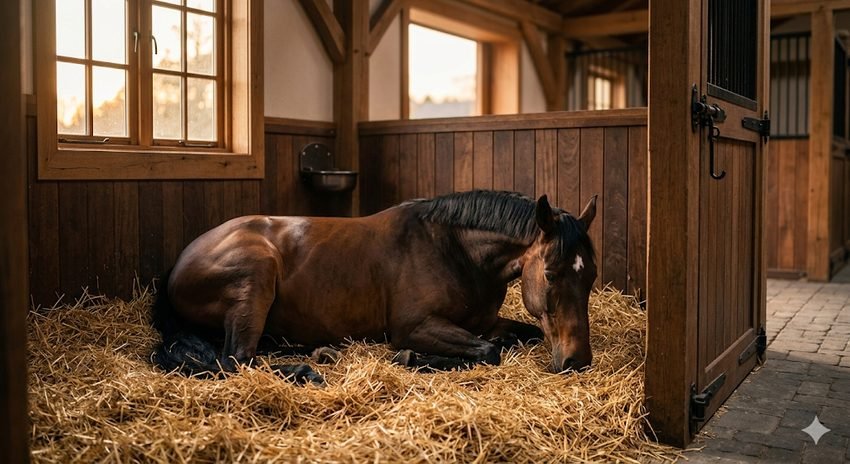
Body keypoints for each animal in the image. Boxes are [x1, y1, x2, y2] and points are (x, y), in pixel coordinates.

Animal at [151, 190, 597, 384]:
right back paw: (306, 370)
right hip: (256, 276)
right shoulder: (415, 326)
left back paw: (319, 353)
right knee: (236, 360)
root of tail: (179, 261)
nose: (578, 361)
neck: (452, 248)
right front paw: (410, 359)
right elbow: (487, 352)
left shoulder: (485, 323)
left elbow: (515, 335)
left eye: (590, 275)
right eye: (551, 273)